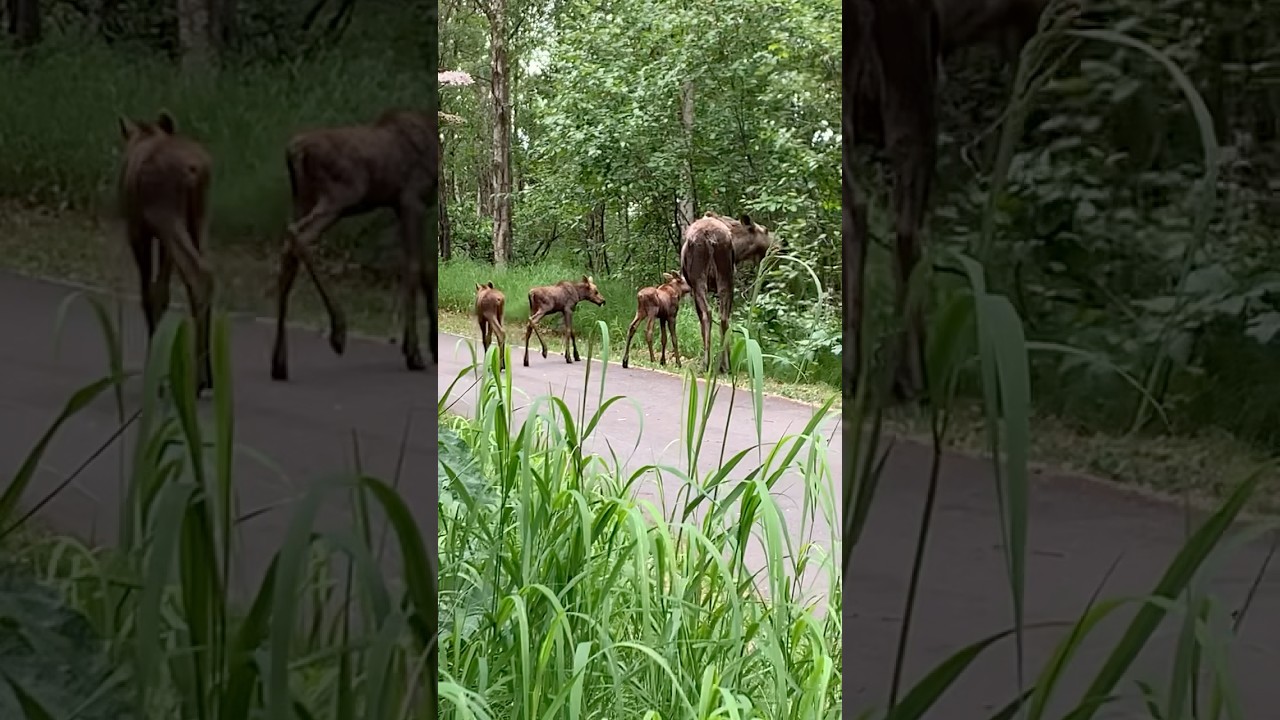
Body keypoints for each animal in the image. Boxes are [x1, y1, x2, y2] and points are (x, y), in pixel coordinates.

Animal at [116, 110, 215, 395]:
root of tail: (196, 170)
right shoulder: (160, 238)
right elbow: (163, 290)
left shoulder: (137, 230)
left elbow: (148, 292)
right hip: (199, 219)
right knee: (206, 272)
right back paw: (207, 374)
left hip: (167, 218)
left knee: (199, 275)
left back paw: (198, 378)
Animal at [269, 108, 439, 382]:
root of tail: (295, 150)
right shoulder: (411, 199)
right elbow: (414, 268)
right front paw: (414, 352)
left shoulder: (400, 205)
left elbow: (425, 271)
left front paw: (429, 346)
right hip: (342, 194)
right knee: (298, 235)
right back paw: (338, 331)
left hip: (302, 197)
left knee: (288, 250)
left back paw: (279, 362)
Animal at [679, 211, 777, 373]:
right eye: (766, 230)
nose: (783, 243)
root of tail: (710, 238)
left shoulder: (693, 288)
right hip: (725, 278)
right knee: (724, 318)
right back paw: (726, 365)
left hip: (700, 280)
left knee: (708, 314)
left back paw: (708, 363)